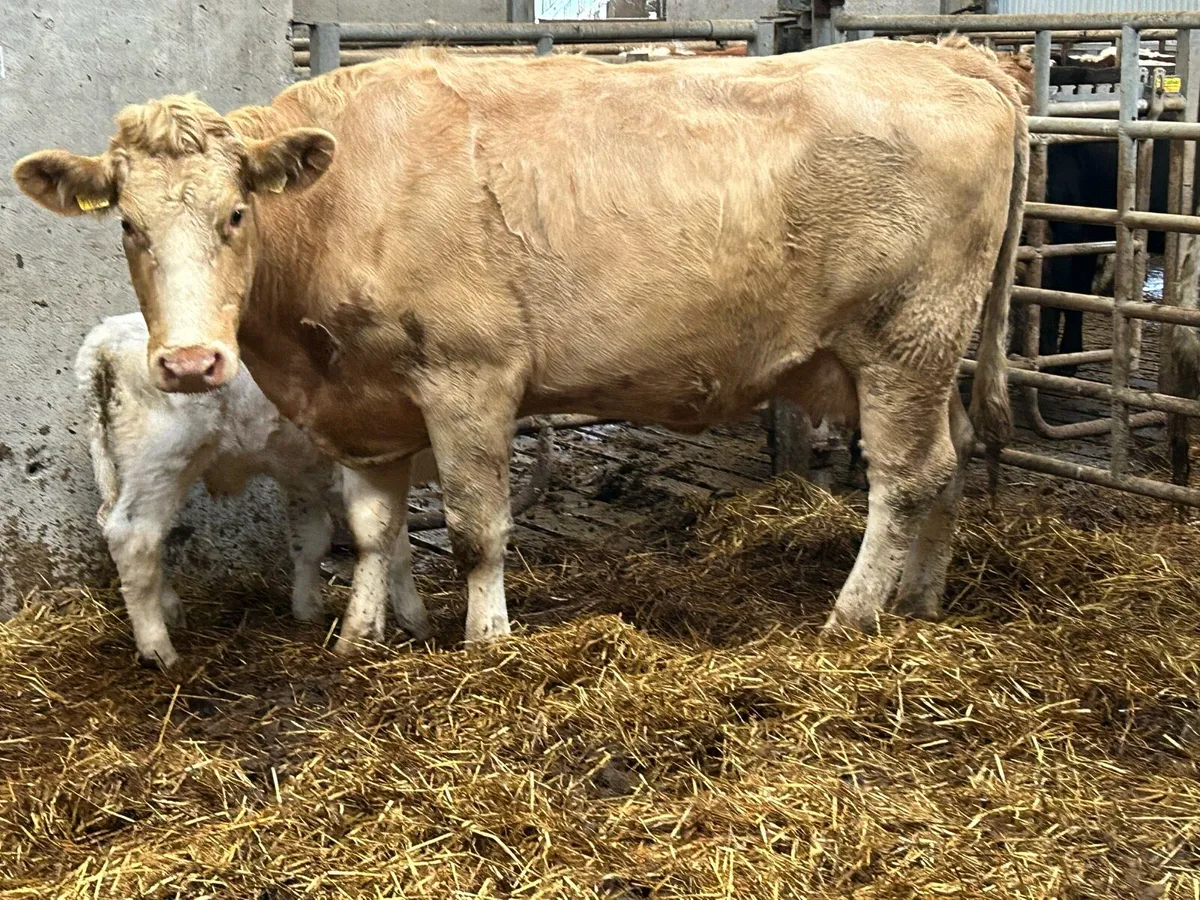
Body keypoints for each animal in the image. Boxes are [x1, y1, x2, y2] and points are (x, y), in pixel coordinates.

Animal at [75, 312, 438, 666]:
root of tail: (105, 338)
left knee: (122, 526)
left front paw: (314, 612)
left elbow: (321, 542)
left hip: (125, 464)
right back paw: (157, 648)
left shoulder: (307, 471)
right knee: (134, 536)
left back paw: (169, 609)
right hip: (161, 459)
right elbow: (380, 538)